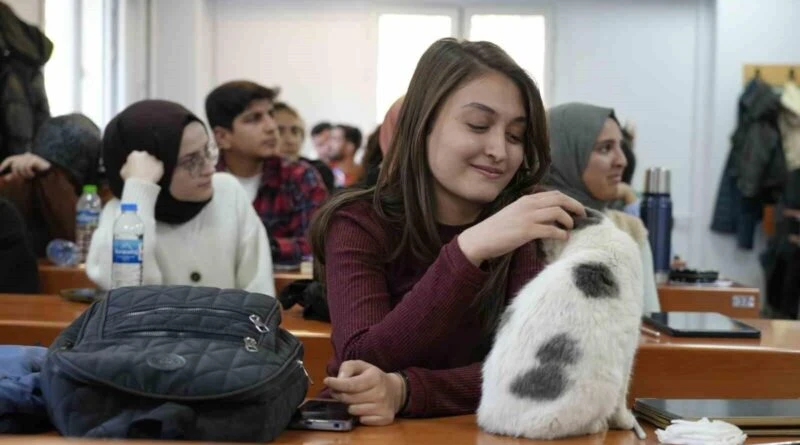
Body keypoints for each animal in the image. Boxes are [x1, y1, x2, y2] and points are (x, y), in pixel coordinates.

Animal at [478, 207, 640, 438]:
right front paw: (625, 421)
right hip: (602, 383)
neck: (596, 237)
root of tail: (495, 423)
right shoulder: (629, 350)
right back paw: (597, 425)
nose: (537, 252)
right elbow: (622, 398)